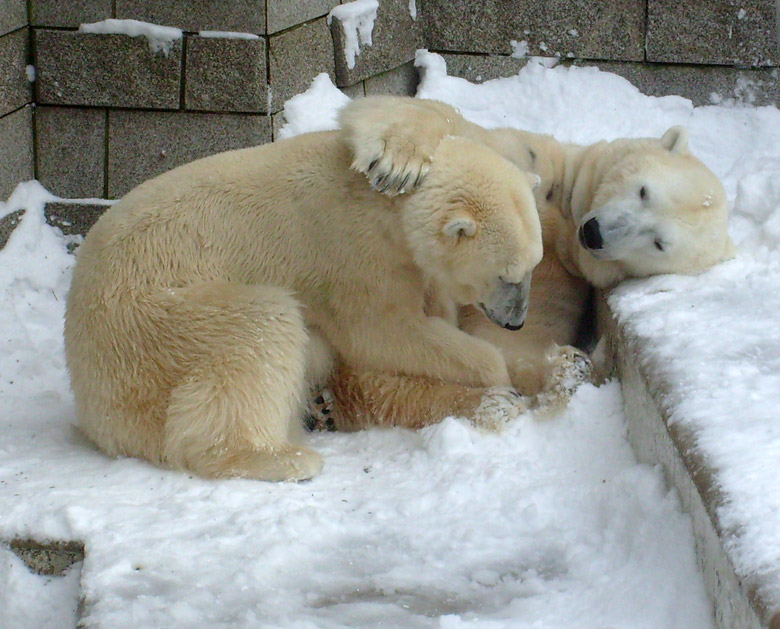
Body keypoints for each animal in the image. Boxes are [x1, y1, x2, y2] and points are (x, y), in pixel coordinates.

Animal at [64, 129, 544, 480]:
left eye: (534, 267)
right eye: (506, 275)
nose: (517, 323)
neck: (386, 200)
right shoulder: (349, 251)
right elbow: (383, 333)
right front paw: (495, 375)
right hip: (152, 325)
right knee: (259, 327)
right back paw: (284, 457)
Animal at [308, 95, 736, 430]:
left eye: (659, 243)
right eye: (644, 190)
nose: (595, 233)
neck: (566, 224)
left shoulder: (553, 289)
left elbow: (510, 350)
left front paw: (567, 369)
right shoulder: (537, 167)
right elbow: (454, 128)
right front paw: (399, 158)